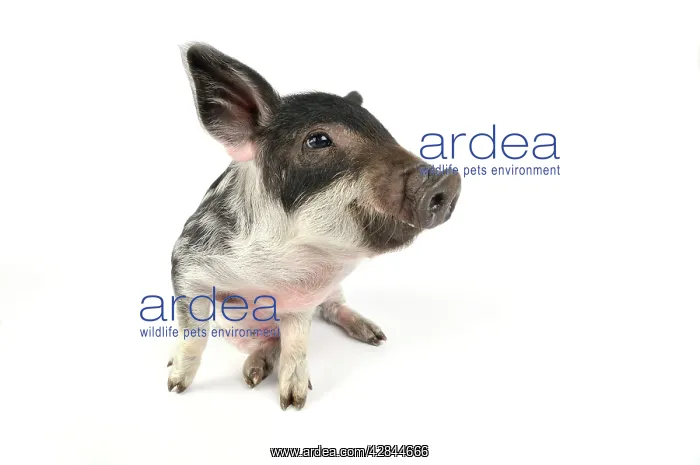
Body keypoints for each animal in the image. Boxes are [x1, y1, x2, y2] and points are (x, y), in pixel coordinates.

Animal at [167, 43, 461, 410]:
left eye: (383, 131)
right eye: (318, 140)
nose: (447, 180)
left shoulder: (304, 296)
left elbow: (296, 345)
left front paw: (294, 402)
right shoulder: (186, 262)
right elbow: (193, 335)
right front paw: (174, 386)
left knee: (329, 310)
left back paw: (375, 336)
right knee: (265, 342)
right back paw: (251, 376)